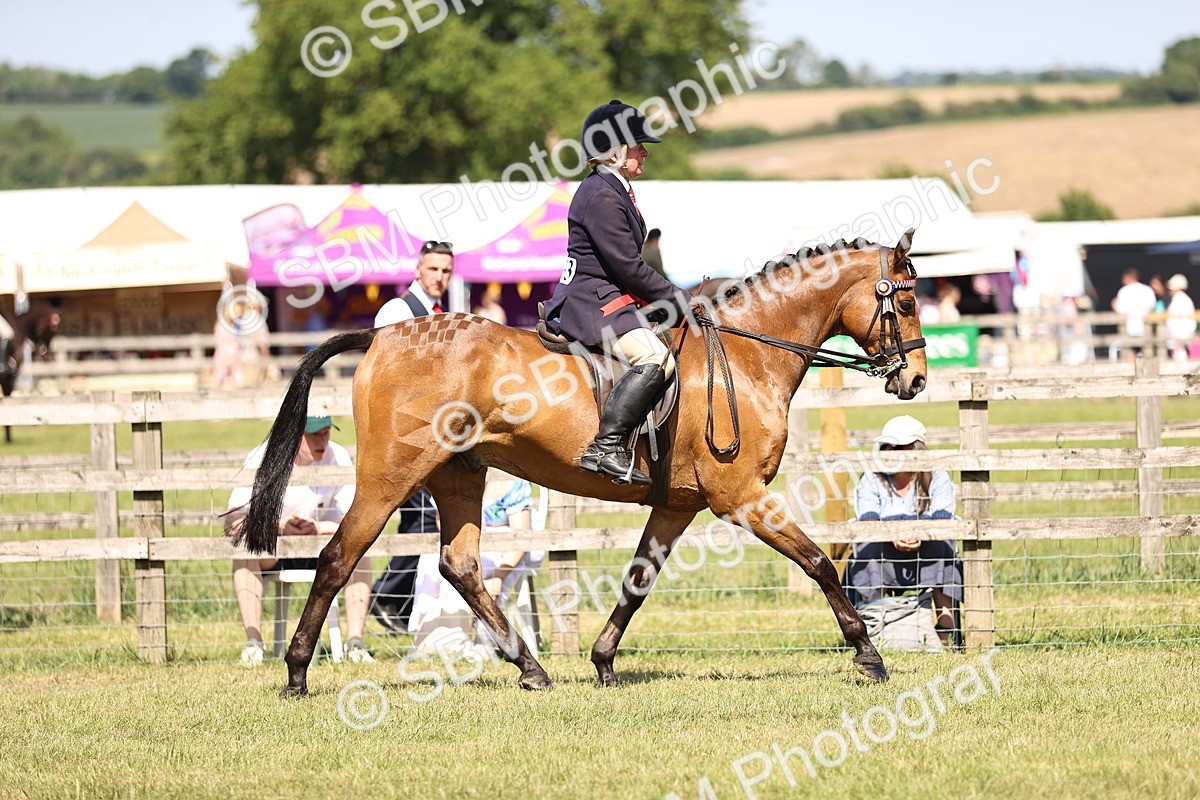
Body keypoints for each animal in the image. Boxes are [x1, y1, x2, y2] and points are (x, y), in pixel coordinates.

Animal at [236, 231, 928, 698]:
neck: (745, 355)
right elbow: (819, 562)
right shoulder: (741, 495)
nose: (917, 380)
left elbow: (637, 581)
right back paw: (296, 673)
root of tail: (380, 337)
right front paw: (868, 655)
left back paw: (532, 668)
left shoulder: (677, 505)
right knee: (337, 557)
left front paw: (602, 661)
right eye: (906, 303)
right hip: (390, 477)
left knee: (459, 565)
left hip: (459, 473)